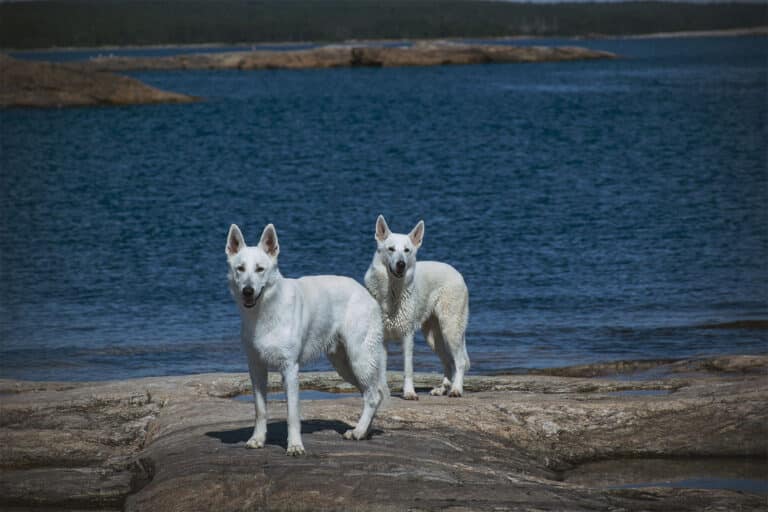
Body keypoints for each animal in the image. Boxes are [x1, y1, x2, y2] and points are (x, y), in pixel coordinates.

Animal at [225, 222, 388, 454]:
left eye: (259, 269)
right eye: (240, 269)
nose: (248, 291)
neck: (264, 312)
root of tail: (367, 294)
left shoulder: (290, 369)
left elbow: (292, 415)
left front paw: (295, 446)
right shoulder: (256, 368)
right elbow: (260, 410)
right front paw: (257, 439)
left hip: (359, 359)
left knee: (373, 396)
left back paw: (358, 431)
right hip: (345, 366)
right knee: (373, 394)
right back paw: (363, 431)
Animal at [364, 214, 468, 398]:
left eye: (407, 250)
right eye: (391, 249)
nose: (401, 264)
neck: (393, 291)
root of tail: (457, 273)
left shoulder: (407, 336)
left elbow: (408, 369)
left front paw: (409, 393)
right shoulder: (381, 339)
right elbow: (381, 371)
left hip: (451, 330)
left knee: (460, 361)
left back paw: (456, 389)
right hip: (433, 337)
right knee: (448, 362)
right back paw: (442, 389)